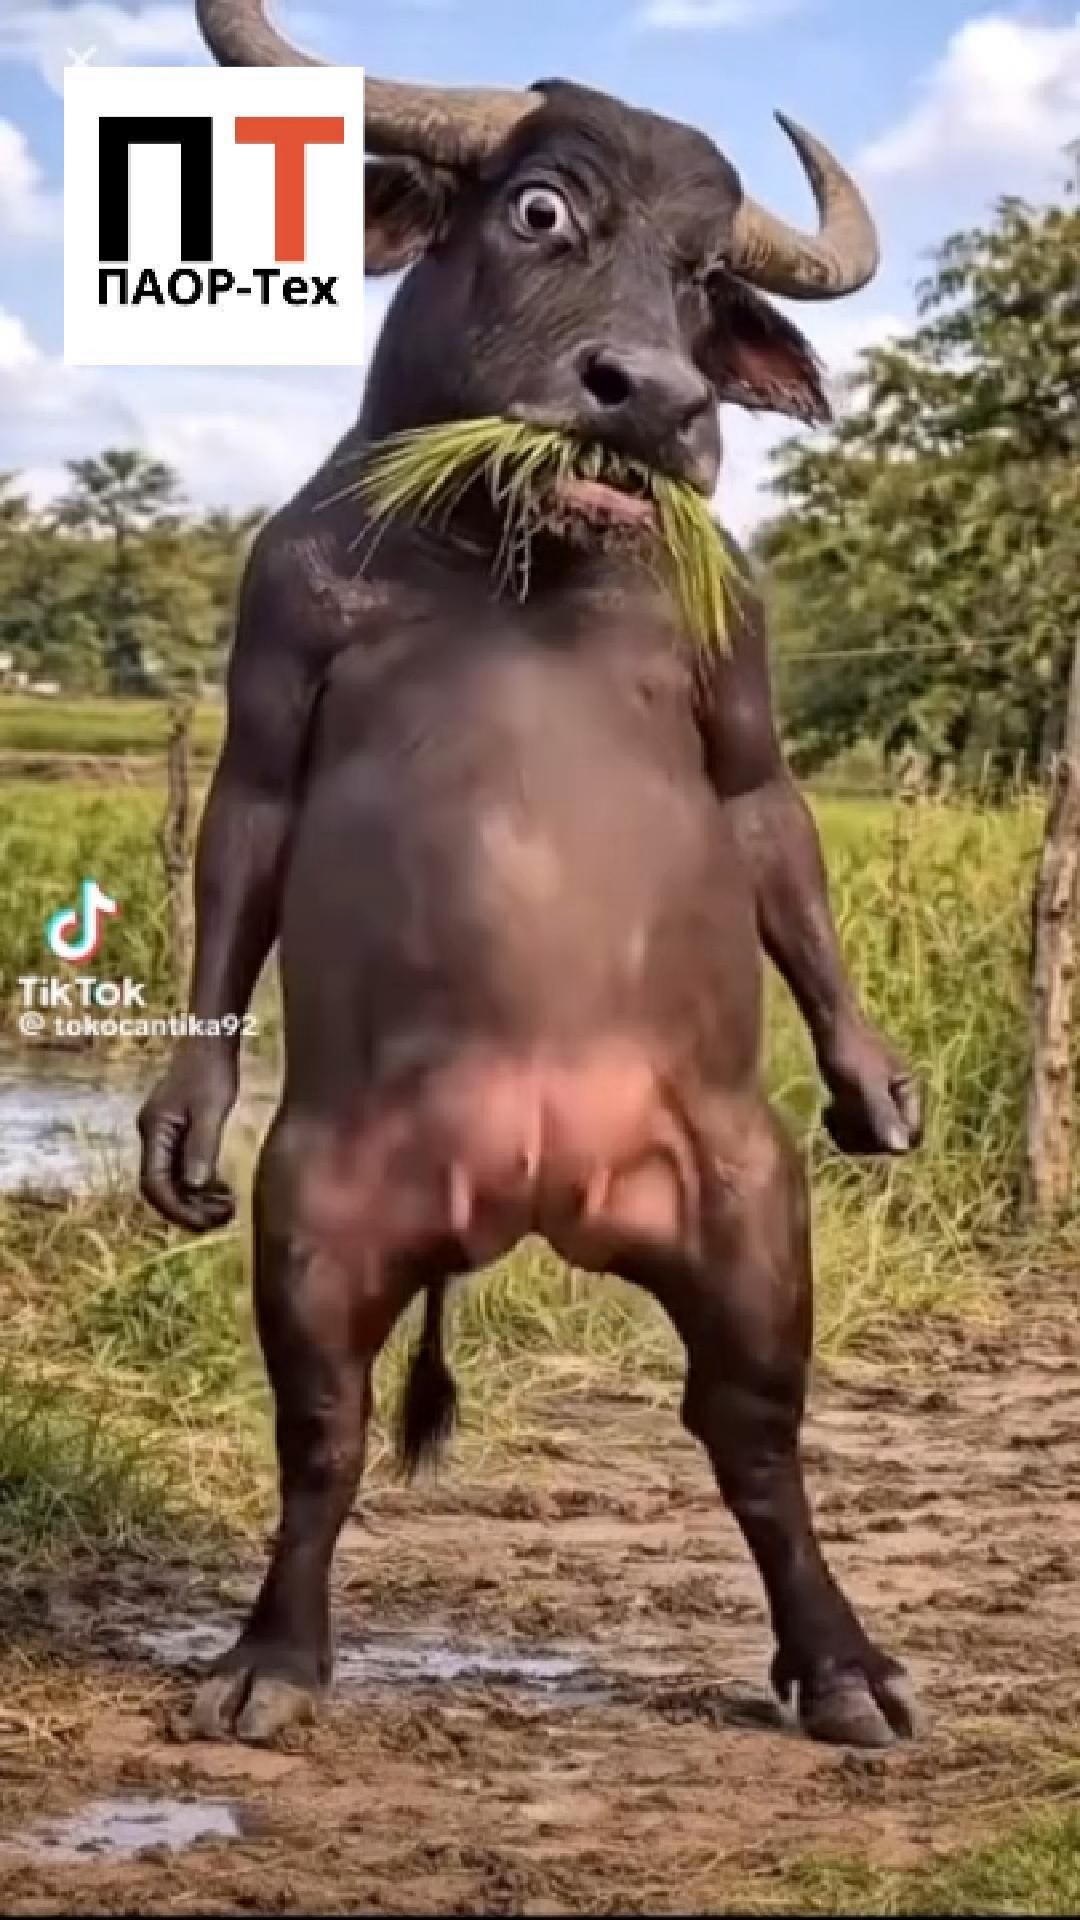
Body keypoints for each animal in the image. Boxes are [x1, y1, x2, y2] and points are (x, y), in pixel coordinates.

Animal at [138, 0, 922, 1749]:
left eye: (700, 277)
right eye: (541, 209)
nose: (654, 400)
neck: (513, 560)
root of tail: (535, 1193)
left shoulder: (740, 644)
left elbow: (765, 807)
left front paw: (875, 1080)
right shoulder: (275, 613)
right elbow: (245, 828)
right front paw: (173, 1122)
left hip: (748, 1211)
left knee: (754, 1438)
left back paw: (843, 1667)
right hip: (315, 1218)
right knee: (326, 1433)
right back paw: (271, 1663)